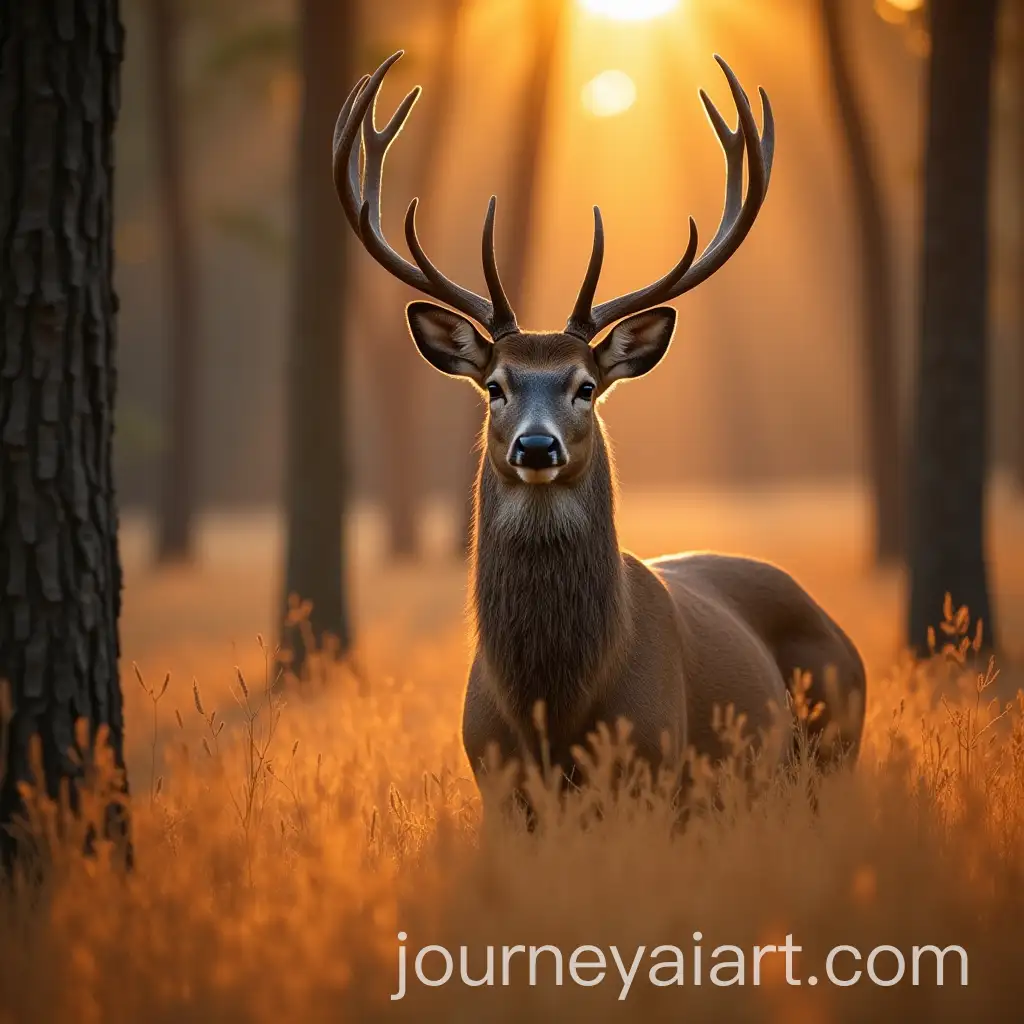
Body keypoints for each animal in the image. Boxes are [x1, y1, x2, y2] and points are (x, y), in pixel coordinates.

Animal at [332, 51, 866, 814]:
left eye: (584, 386)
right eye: (495, 387)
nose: (536, 445)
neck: (554, 704)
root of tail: (841, 633)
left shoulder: (655, 767)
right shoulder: (495, 778)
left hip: (832, 748)